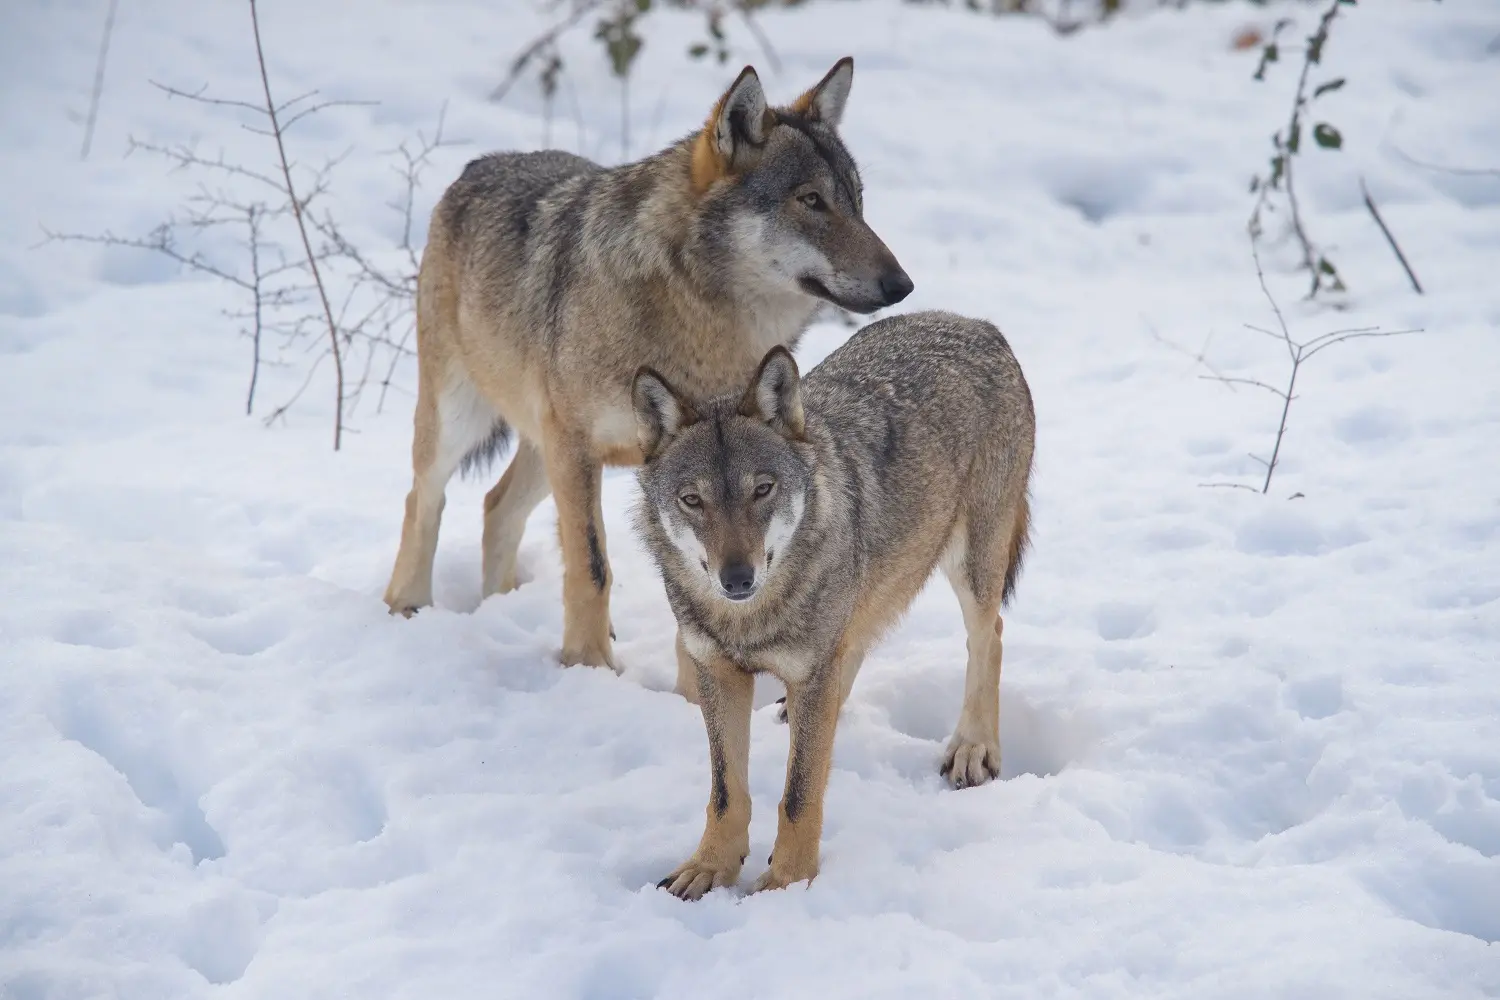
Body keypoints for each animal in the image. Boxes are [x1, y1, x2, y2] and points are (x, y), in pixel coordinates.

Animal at [381, 56, 906, 671]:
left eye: (857, 200)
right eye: (811, 200)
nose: (902, 284)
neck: (697, 321)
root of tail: (477, 164)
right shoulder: (577, 448)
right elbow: (592, 567)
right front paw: (589, 668)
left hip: (540, 450)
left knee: (495, 506)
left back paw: (502, 609)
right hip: (464, 422)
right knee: (423, 498)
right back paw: (408, 607)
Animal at [630, 310, 1032, 899]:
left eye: (763, 489)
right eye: (692, 501)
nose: (737, 577)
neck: (750, 621)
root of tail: (976, 323)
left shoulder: (810, 667)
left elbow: (799, 794)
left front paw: (786, 884)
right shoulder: (717, 671)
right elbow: (727, 792)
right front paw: (709, 867)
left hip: (971, 567)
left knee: (990, 636)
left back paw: (973, 748)